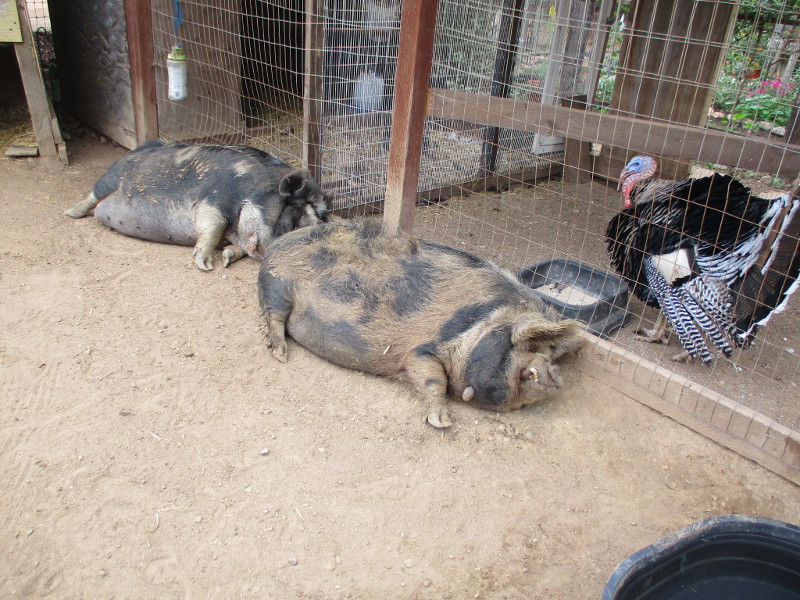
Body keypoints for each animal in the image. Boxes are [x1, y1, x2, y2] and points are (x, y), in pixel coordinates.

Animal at [63, 140, 328, 270]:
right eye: (295, 218)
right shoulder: (212, 200)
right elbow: (213, 226)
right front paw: (205, 265)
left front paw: (227, 258)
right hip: (112, 175)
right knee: (93, 194)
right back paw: (69, 213)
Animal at [258, 218, 585, 428]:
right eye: (530, 344)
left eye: (553, 351)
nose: (554, 372)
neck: (476, 324)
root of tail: (277, 244)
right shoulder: (419, 351)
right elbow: (434, 379)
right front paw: (442, 423)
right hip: (278, 284)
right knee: (273, 316)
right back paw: (280, 354)